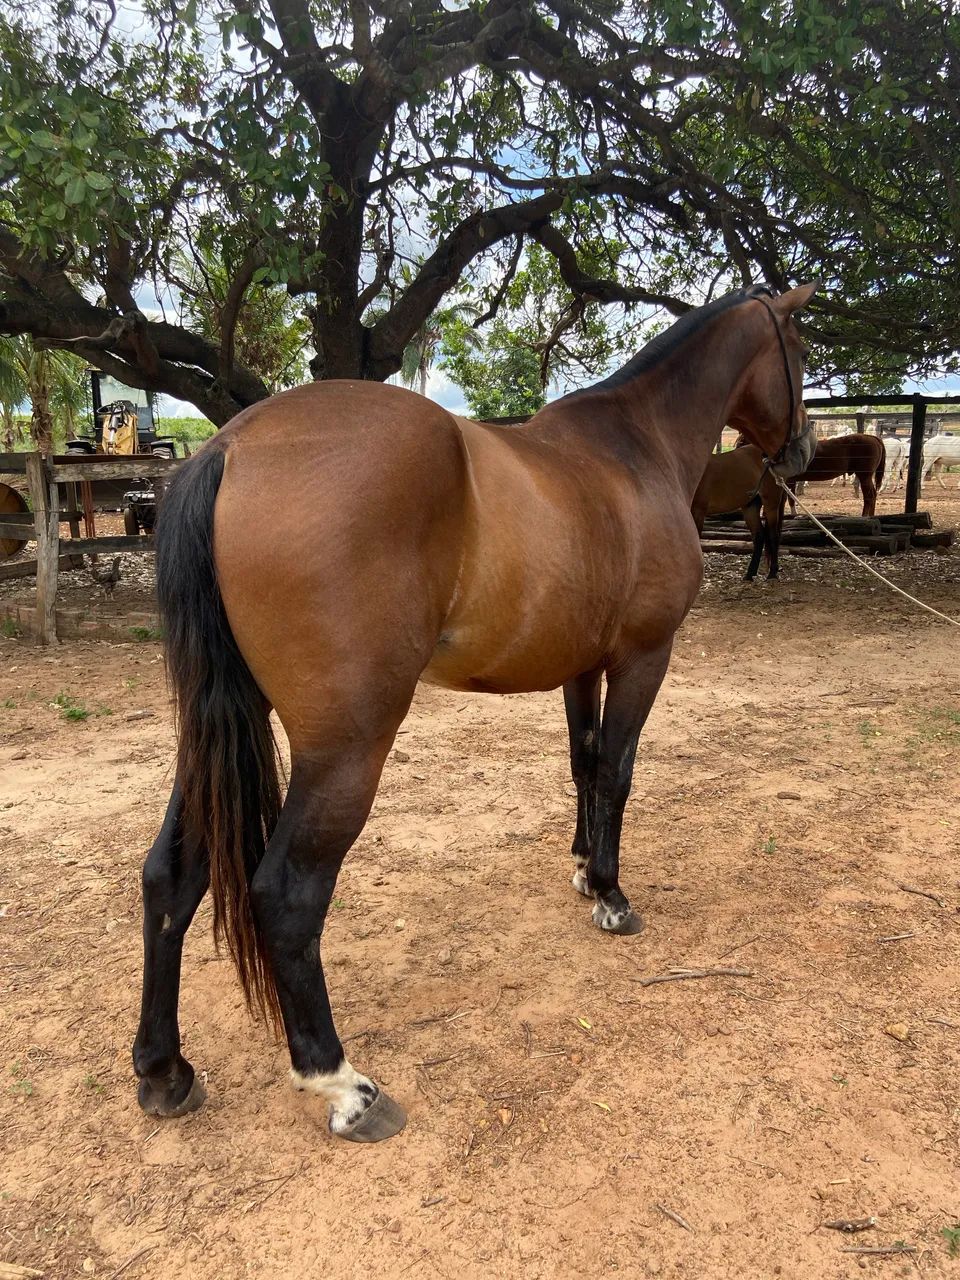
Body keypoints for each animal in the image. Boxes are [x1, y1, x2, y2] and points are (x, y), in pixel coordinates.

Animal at [692, 445, 786, 580]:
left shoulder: (698, 511)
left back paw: (772, 572)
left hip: (771, 505)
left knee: (774, 536)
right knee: (759, 536)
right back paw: (750, 574)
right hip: (750, 506)